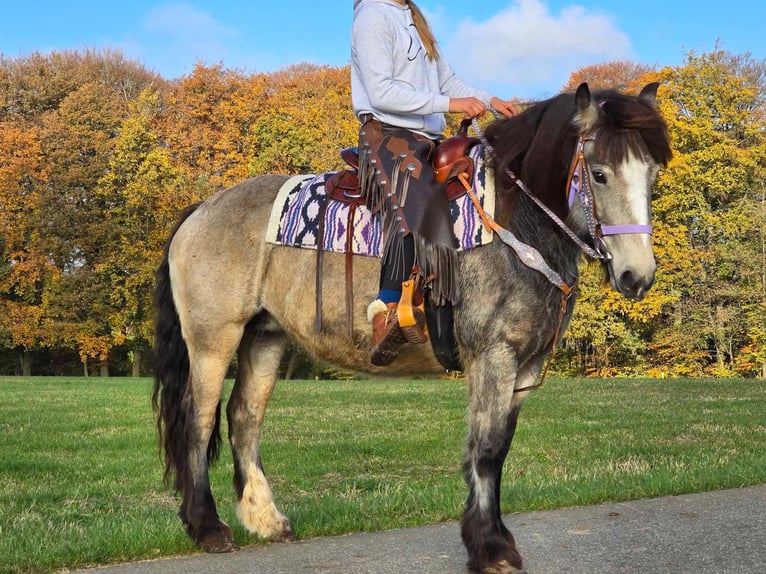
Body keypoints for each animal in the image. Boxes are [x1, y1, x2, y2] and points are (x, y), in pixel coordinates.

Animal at [154, 82, 672, 574]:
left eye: (652, 174)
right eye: (599, 173)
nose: (637, 276)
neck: (515, 223)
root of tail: (201, 209)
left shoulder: (525, 365)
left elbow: (499, 448)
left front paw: (494, 538)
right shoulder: (492, 356)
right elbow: (485, 449)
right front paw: (489, 547)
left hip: (265, 337)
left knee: (244, 417)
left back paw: (265, 518)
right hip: (213, 340)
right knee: (199, 420)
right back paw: (208, 527)